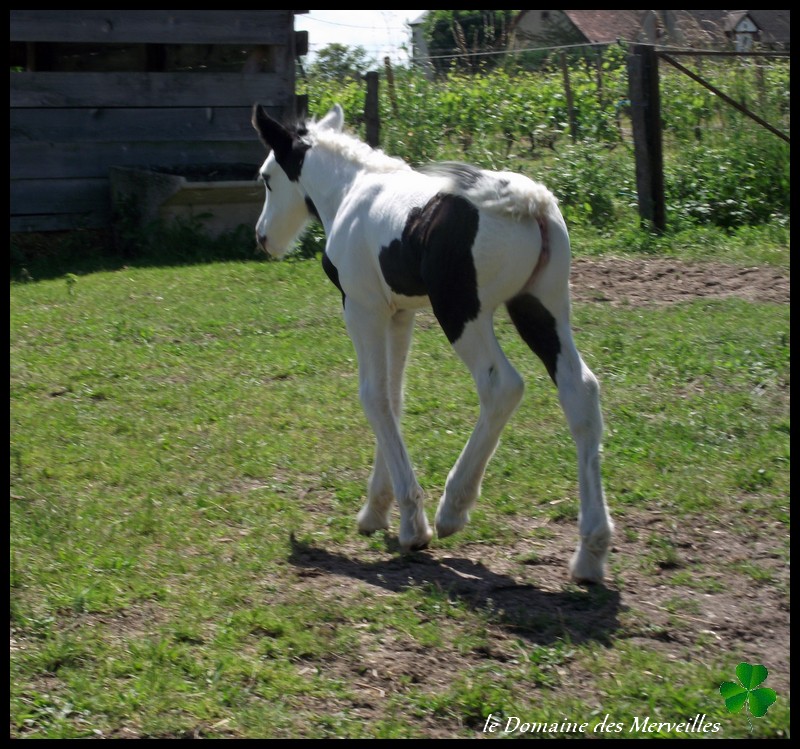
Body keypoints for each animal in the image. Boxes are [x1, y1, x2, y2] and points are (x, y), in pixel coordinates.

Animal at [253, 102, 616, 580]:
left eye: (266, 177)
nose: (262, 237)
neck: (351, 189)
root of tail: (528, 202)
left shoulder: (362, 308)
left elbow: (373, 396)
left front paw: (412, 523)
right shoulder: (399, 313)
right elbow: (394, 397)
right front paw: (375, 510)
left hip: (462, 313)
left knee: (502, 386)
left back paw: (453, 509)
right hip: (541, 306)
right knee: (580, 391)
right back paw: (591, 551)